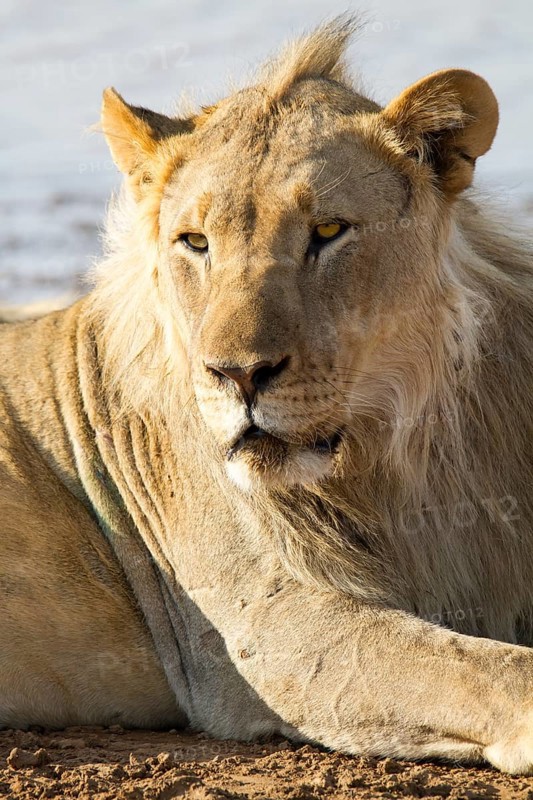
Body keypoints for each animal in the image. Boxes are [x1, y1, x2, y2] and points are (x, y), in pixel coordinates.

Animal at [1, 17, 533, 774]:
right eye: (195, 242)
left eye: (328, 231)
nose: (238, 374)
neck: (405, 457)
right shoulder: (267, 625)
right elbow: (483, 668)